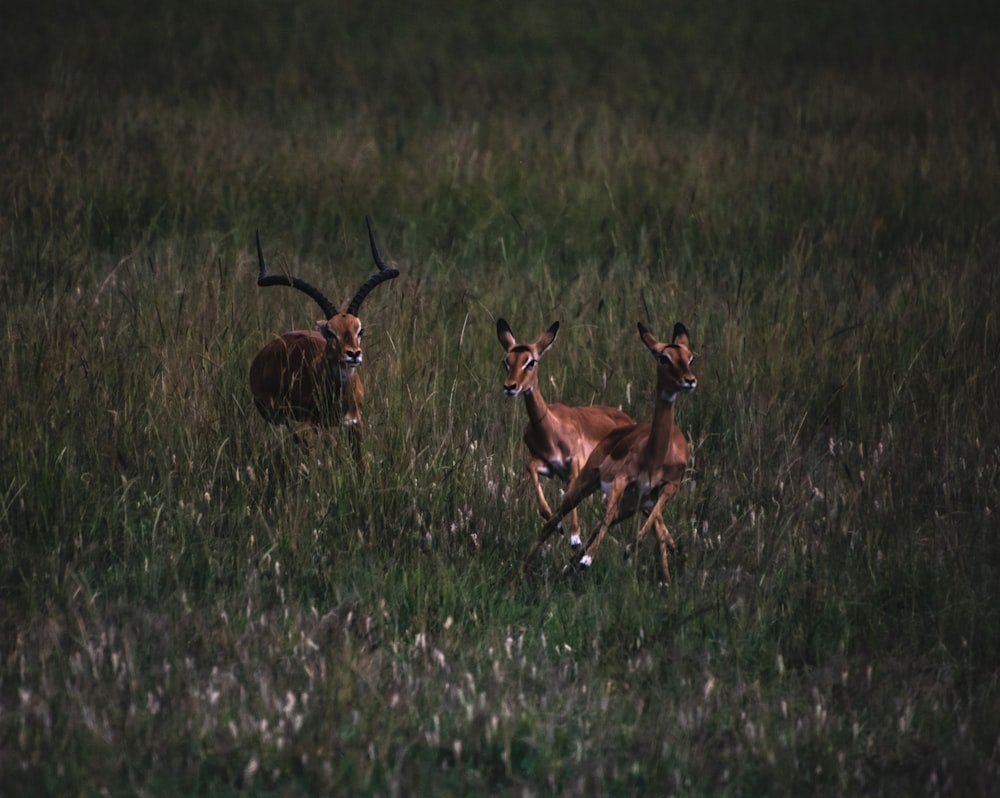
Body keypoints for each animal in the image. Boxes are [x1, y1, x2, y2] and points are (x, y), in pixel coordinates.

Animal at [248, 222, 400, 466]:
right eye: (330, 332)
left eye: (360, 329)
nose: (353, 354)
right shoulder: (313, 424)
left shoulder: (355, 423)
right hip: (283, 421)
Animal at [498, 318, 632, 552]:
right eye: (507, 361)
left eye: (530, 361)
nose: (510, 387)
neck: (550, 428)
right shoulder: (549, 467)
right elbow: (530, 467)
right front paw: (557, 524)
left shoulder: (575, 466)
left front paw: (575, 538)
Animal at [516, 322, 696, 592]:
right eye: (664, 357)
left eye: (690, 357)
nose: (689, 380)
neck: (653, 455)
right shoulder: (621, 482)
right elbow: (608, 518)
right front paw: (587, 559)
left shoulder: (662, 490)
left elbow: (645, 528)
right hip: (587, 484)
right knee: (553, 521)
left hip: (632, 502)